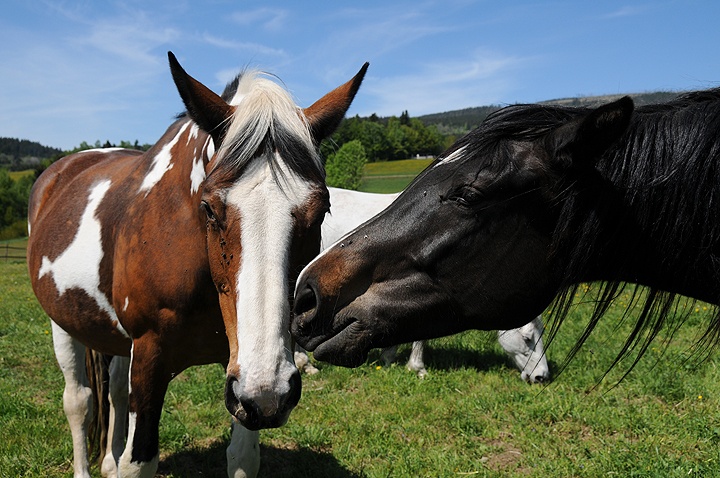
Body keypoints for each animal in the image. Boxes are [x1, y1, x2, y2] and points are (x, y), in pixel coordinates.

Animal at [26, 53, 366, 478]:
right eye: (209, 208)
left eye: (322, 209)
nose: (269, 392)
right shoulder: (150, 359)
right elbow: (138, 460)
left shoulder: (240, 378)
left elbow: (242, 457)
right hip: (62, 325)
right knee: (80, 401)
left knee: (114, 392)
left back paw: (107, 460)